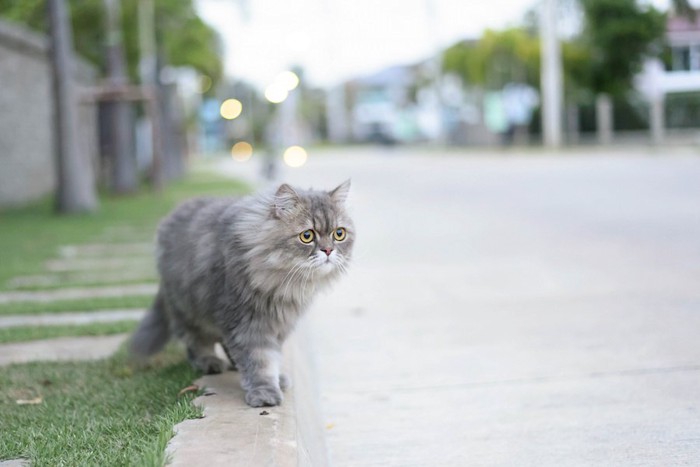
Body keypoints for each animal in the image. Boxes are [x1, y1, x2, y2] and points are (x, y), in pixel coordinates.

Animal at [129, 181, 352, 408]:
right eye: (307, 236)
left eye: (339, 234)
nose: (328, 251)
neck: (281, 285)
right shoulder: (248, 323)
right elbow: (260, 360)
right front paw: (264, 393)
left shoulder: (278, 323)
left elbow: (272, 356)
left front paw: (275, 379)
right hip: (189, 312)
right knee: (196, 342)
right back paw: (209, 362)